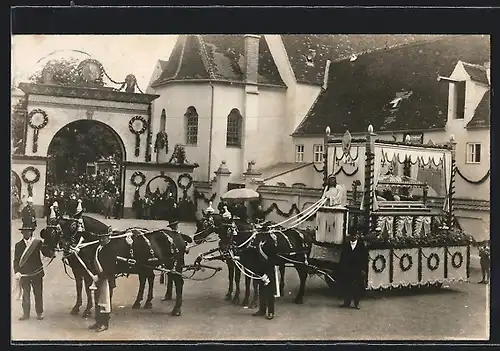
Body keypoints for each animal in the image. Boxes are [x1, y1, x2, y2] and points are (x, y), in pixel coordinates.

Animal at [41, 216, 192, 318]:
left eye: (55, 232)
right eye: (45, 232)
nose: (45, 251)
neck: (98, 243)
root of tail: (178, 235)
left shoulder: (94, 272)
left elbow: (93, 290)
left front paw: (90, 309)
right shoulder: (80, 271)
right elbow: (81, 289)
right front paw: (79, 307)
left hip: (173, 265)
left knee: (178, 282)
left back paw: (176, 309)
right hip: (146, 266)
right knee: (148, 279)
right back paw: (143, 302)